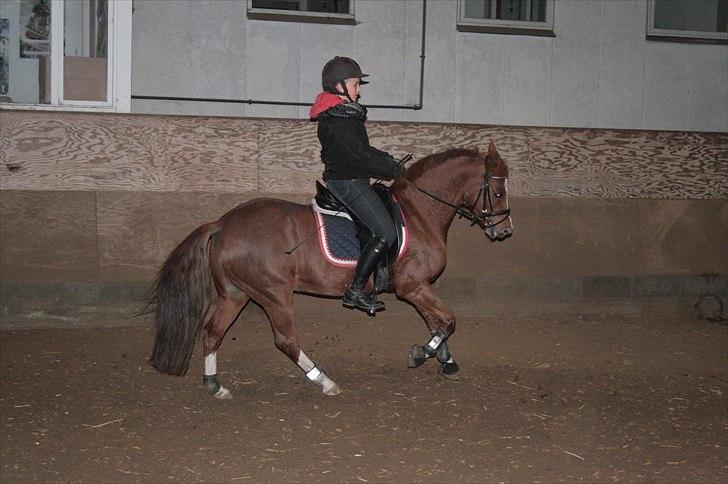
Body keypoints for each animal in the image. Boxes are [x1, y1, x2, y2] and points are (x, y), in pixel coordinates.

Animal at [149, 141, 513, 398]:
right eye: (498, 190)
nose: (505, 231)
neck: (418, 214)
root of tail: (222, 223)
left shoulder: (420, 286)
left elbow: (437, 321)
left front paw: (446, 361)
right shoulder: (412, 286)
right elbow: (448, 321)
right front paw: (423, 354)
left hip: (236, 294)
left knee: (212, 333)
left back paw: (214, 385)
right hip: (274, 294)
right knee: (285, 340)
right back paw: (324, 381)